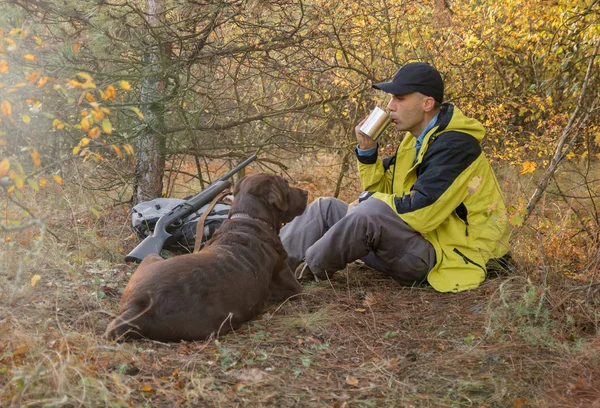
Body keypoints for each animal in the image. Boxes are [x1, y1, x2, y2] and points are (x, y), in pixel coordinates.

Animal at [103, 172, 308, 342]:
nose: (306, 192)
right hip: (155, 259)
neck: (248, 219)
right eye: (286, 184)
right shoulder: (292, 286)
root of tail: (139, 307)